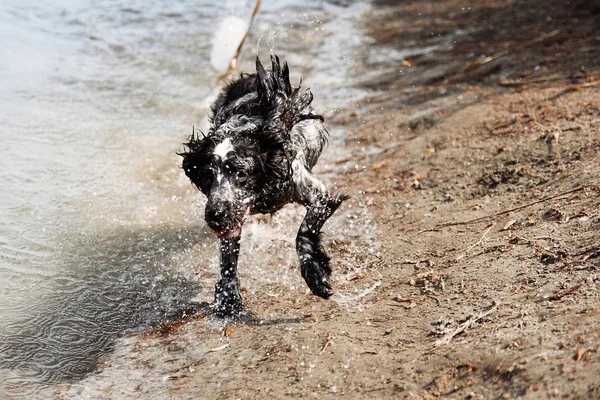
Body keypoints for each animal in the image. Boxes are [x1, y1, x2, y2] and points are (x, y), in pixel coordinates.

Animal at [178, 54, 346, 318]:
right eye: (207, 175)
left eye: (240, 173)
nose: (214, 215)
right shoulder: (233, 217)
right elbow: (228, 259)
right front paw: (227, 297)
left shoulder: (316, 194)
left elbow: (304, 233)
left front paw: (315, 274)